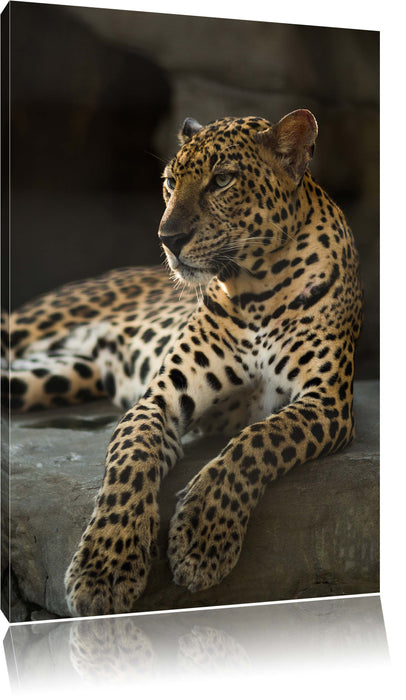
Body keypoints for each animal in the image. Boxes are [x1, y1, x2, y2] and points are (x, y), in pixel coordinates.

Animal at [2, 109, 363, 617]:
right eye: (171, 183)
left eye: (223, 180)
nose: (168, 239)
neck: (257, 288)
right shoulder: (161, 399)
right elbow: (130, 460)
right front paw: (105, 566)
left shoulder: (326, 402)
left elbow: (257, 441)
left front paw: (203, 538)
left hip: (51, 376)